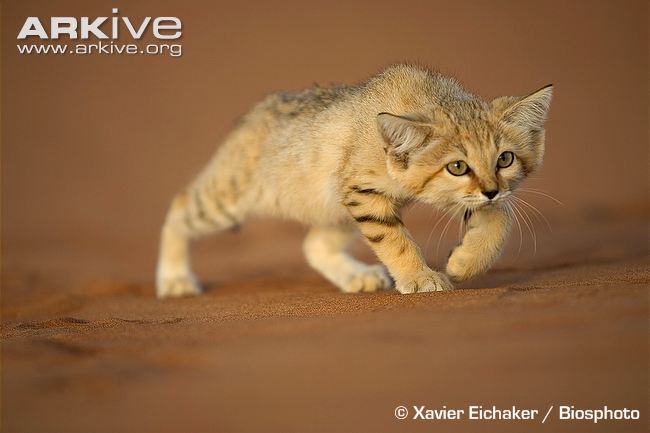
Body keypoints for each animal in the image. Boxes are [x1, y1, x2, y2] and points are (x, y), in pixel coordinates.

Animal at [154, 63, 548, 296]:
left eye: (505, 159)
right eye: (457, 167)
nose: (491, 190)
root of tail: (249, 117)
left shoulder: (430, 194)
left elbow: (500, 219)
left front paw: (464, 263)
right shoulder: (365, 192)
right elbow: (395, 240)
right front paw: (420, 277)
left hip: (334, 207)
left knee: (313, 245)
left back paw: (356, 276)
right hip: (230, 200)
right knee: (178, 207)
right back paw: (174, 278)